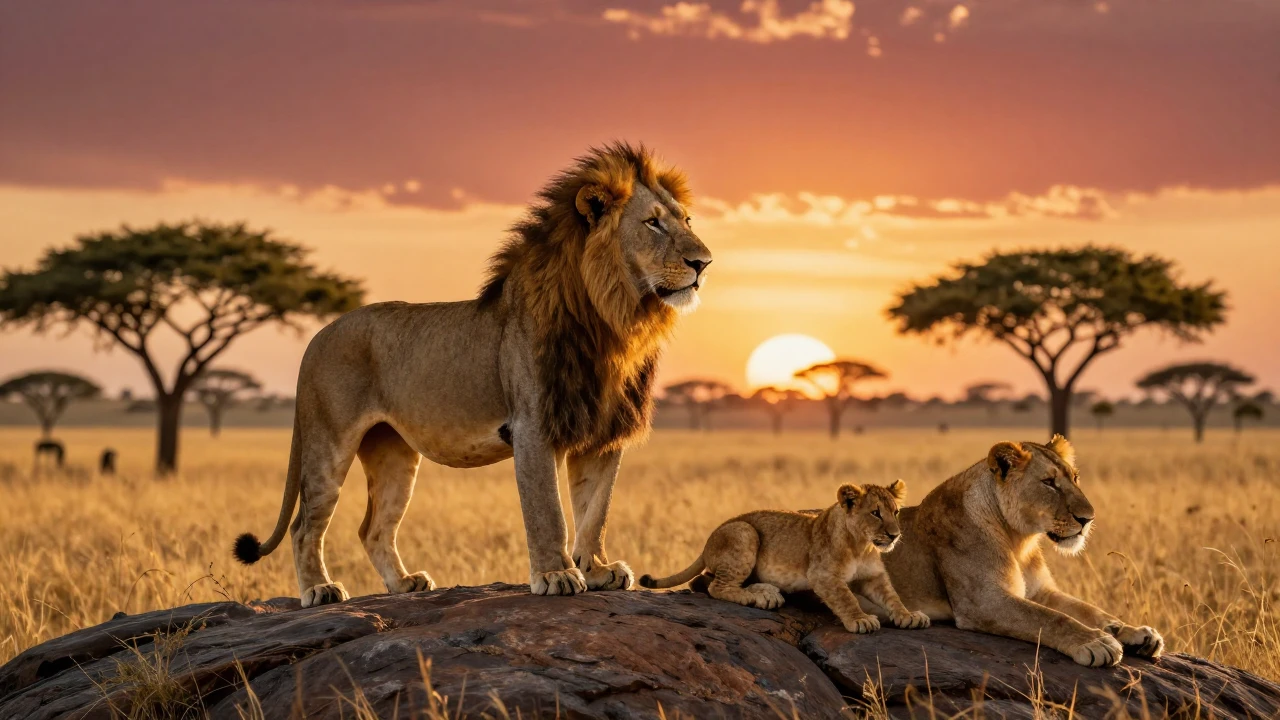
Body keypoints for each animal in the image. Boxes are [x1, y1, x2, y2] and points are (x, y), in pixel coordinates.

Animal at [233, 143, 712, 607]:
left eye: (686, 220)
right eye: (653, 223)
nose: (704, 262)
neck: (614, 321)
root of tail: (319, 335)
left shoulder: (601, 431)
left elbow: (596, 510)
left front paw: (596, 570)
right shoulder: (533, 426)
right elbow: (548, 511)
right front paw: (556, 575)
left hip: (393, 452)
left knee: (373, 528)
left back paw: (404, 583)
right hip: (328, 442)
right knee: (304, 525)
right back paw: (319, 590)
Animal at [641, 480, 931, 634]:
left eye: (895, 511)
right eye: (875, 513)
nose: (894, 535)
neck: (862, 545)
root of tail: (707, 542)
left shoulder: (873, 577)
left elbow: (892, 596)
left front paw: (909, 615)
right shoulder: (822, 575)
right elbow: (845, 598)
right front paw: (860, 619)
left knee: (706, 581)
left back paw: (767, 592)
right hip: (745, 532)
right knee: (717, 586)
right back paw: (757, 598)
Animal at [875, 435, 1165, 667]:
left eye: (1075, 478)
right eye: (1049, 482)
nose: (1088, 519)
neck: (1019, 540)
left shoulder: (1042, 591)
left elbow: (1089, 610)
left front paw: (1132, 632)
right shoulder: (984, 601)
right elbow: (1050, 618)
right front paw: (1096, 642)